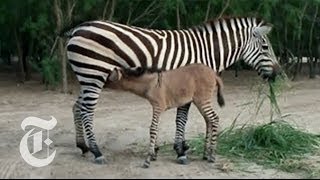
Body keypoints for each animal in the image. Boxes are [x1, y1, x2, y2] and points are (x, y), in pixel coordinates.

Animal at [65, 16, 280, 164]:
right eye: (265, 47)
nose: (277, 74)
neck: (208, 52)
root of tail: (78, 28)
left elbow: (185, 119)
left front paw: (183, 147)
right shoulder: (187, 88)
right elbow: (182, 119)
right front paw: (180, 151)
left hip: (87, 76)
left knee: (77, 107)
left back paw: (82, 146)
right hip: (93, 74)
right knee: (87, 110)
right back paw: (96, 151)